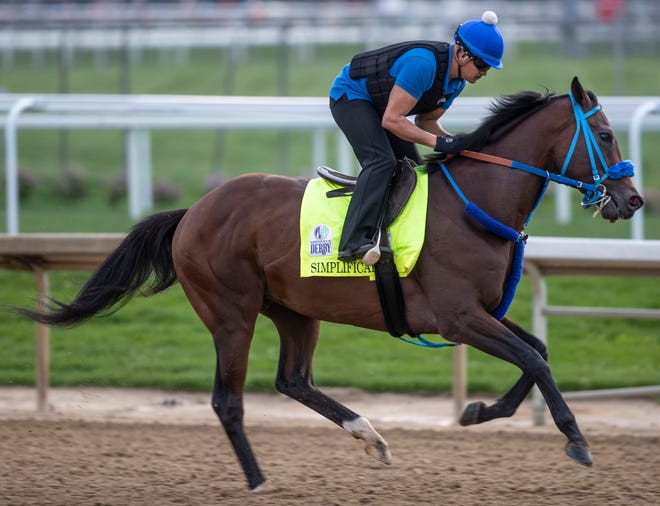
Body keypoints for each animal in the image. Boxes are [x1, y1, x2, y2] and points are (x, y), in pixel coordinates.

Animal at [15, 77, 643, 492]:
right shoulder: (459, 317)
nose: (633, 199)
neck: (474, 206)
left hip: (295, 310)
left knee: (293, 380)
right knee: (228, 400)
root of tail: (193, 211)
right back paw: (259, 480)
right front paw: (576, 439)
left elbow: (536, 352)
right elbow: (534, 360)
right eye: (606, 134)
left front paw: (478, 412)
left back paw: (369, 435)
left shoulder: (480, 311)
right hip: (231, 313)